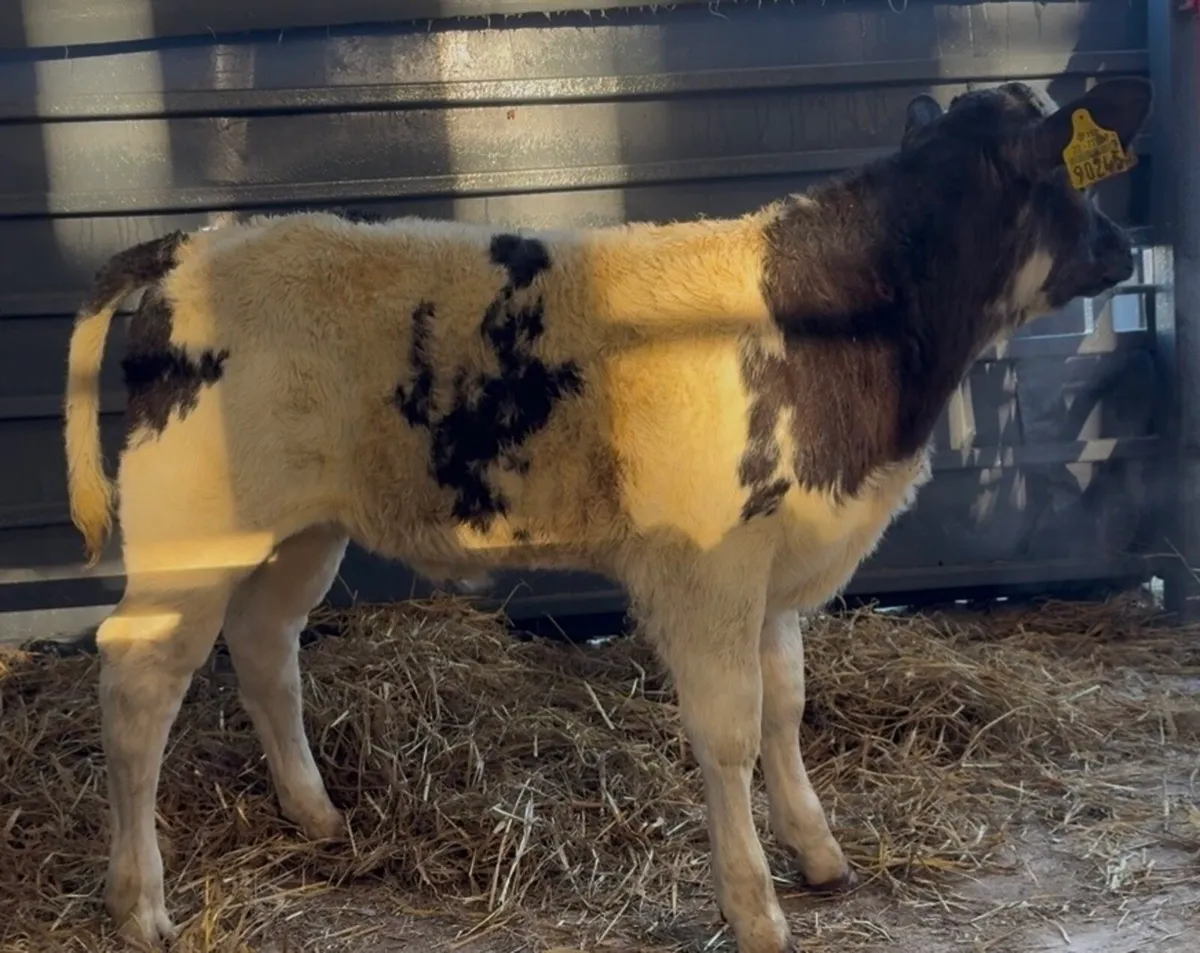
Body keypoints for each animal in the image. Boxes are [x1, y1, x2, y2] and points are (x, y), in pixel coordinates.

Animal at [63, 77, 1152, 952]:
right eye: (1074, 181)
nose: (1126, 247)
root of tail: (197, 242)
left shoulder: (772, 566)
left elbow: (787, 703)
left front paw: (818, 850)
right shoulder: (709, 568)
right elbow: (730, 728)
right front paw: (756, 907)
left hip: (301, 527)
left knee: (264, 643)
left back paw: (318, 815)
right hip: (191, 530)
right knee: (137, 679)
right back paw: (139, 904)